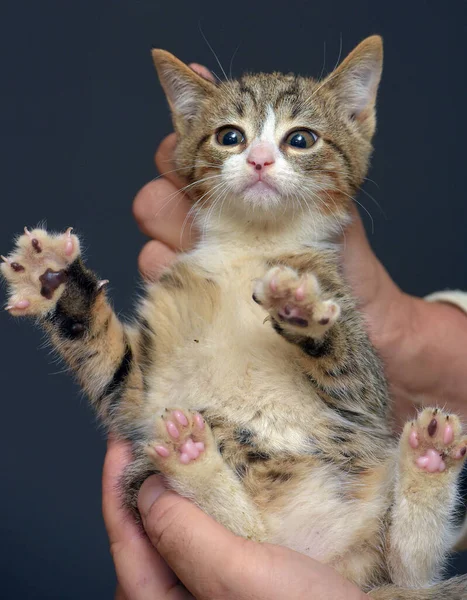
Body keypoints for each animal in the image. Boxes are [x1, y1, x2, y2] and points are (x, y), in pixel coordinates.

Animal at [2, 36, 467, 596]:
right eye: (230, 136)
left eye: (301, 139)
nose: (261, 159)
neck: (252, 245)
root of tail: (322, 556)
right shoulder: (139, 394)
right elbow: (105, 357)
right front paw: (53, 280)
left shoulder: (364, 392)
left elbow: (346, 359)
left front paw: (301, 309)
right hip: (144, 472)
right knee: (249, 532)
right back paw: (193, 459)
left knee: (407, 568)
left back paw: (427, 459)